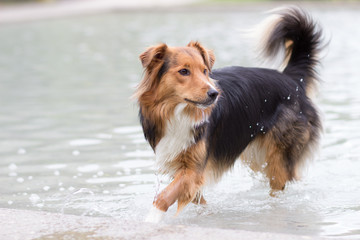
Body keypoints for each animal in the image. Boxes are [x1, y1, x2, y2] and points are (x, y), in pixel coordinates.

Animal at [134, 6, 324, 223]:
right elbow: (193, 196)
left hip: (280, 156)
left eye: (205, 71)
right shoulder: (182, 165)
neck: (179, 112)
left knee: (281, 183)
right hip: (257, 156)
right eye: (184, 71)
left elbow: (164, 196)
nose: (214, 94)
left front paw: (150, 220)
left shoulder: (193, 169)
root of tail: (291, 79)